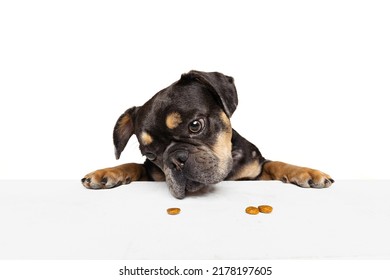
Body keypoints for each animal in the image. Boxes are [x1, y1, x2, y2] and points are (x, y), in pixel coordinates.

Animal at [80, 70, 334, 198]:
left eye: (195, 125)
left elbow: (276, 164)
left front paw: (306, 172)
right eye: (150, 154)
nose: (175, 160)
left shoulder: (256, 170)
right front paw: (107, 172)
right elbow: (135, 166)